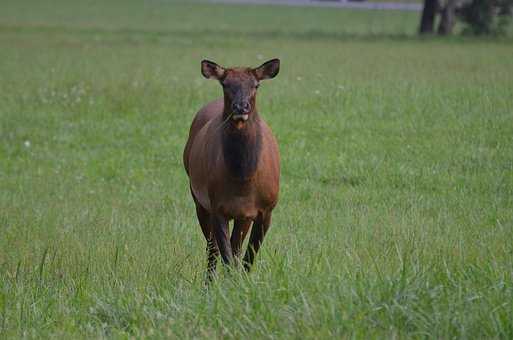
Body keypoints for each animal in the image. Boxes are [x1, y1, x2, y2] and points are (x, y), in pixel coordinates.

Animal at [183, 58, 280, 280]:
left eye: (256, 85)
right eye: (225, 84)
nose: (241, 107)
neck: (242, 180)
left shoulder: (266, 209)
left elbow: (247, 257)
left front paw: (242, 283)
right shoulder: (217, 205)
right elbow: (224, 255)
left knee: (235, 247)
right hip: (198, 198)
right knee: (212, 249)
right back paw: (208, 283)